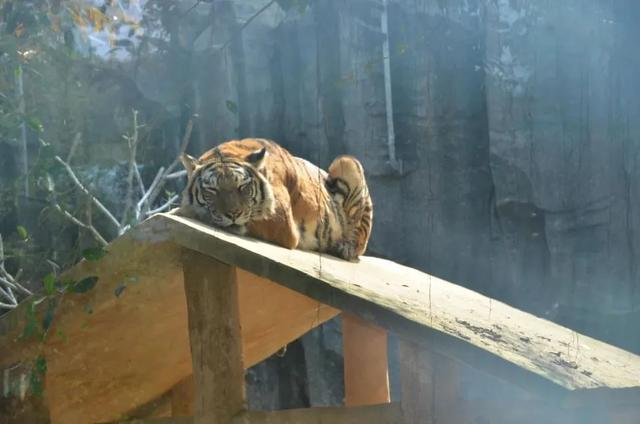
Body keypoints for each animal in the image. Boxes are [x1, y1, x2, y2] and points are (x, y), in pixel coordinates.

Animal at [172, 137, 372, 260]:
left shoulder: (280, 223)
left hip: (347, 162)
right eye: (212, 190)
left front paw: (181, 210)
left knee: (360, 238)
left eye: (242, 187)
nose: (233, 214)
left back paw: (344, 247)